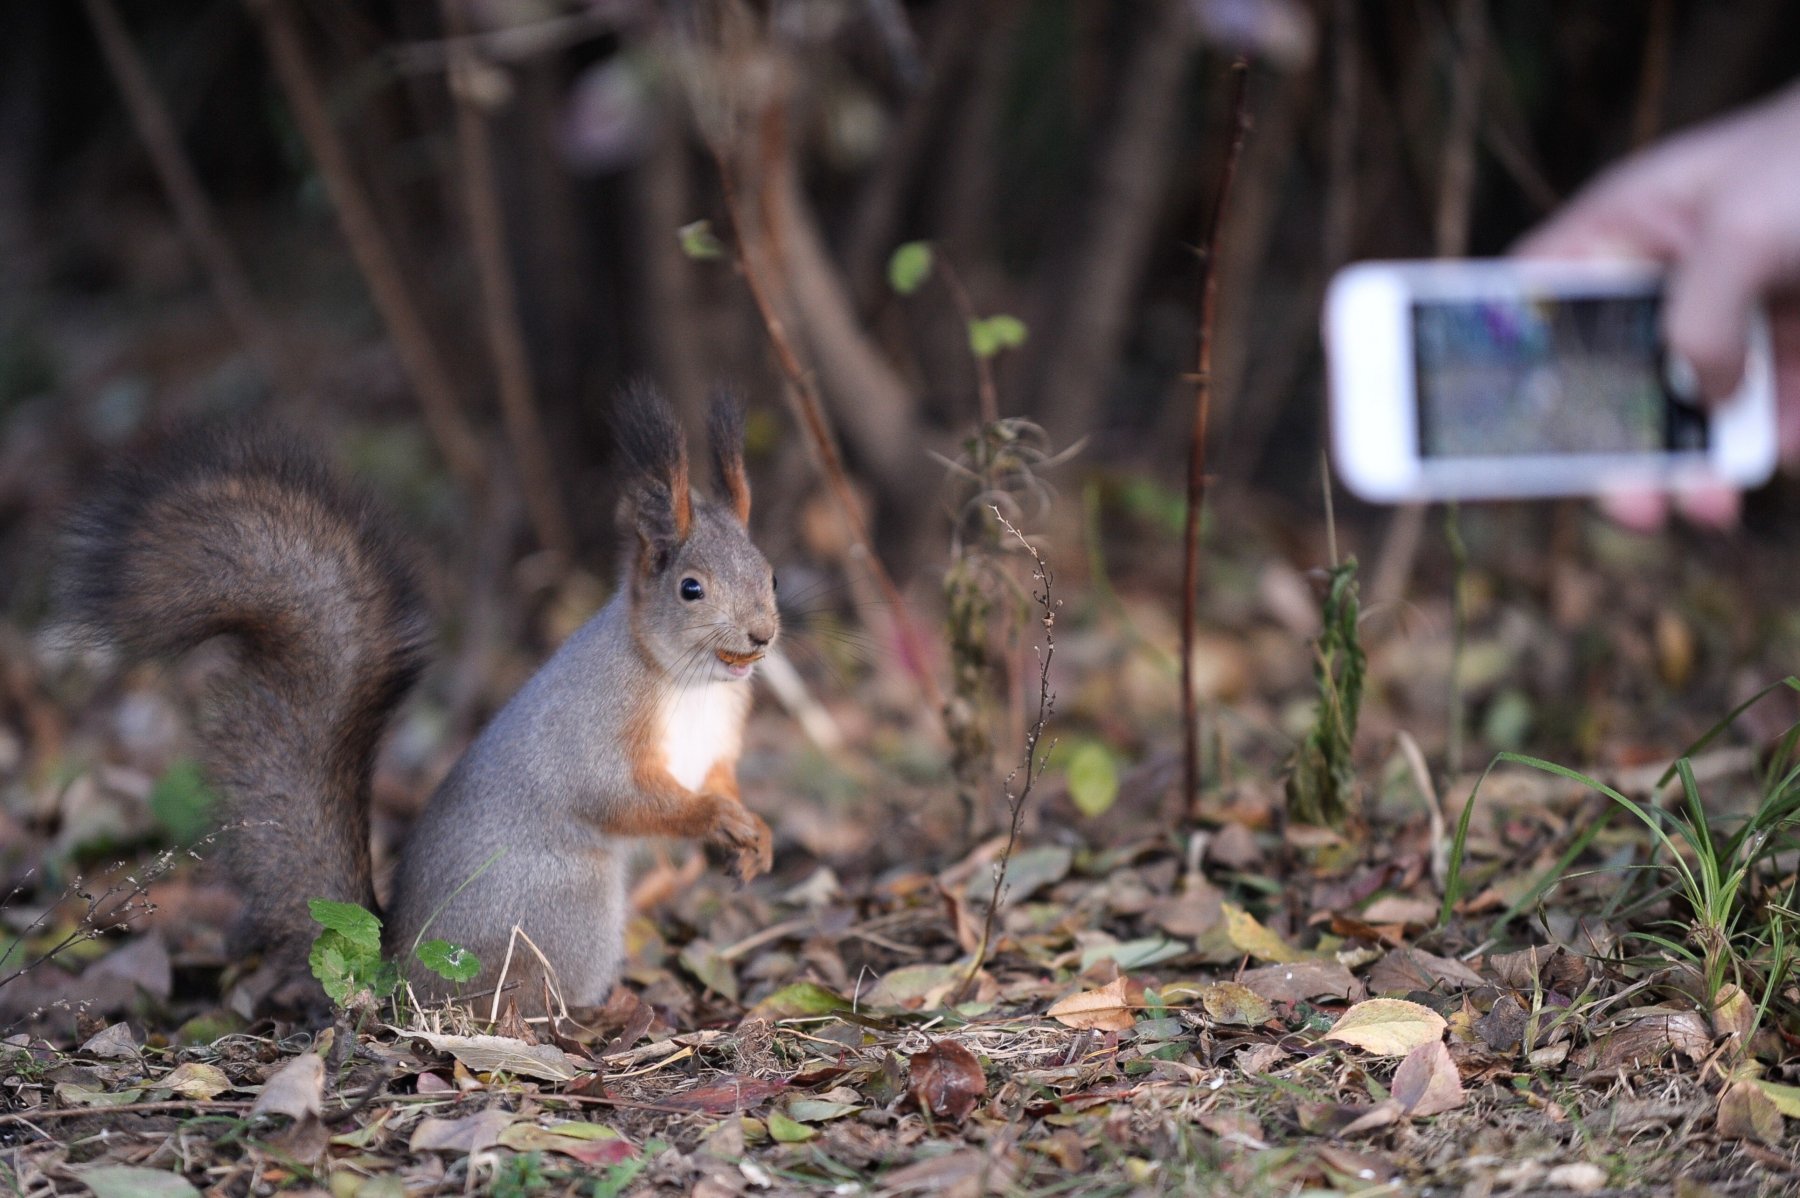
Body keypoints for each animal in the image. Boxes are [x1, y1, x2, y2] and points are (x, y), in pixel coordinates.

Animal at [54, 390, 774, 1007]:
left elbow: (719, 775)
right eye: (689, 589)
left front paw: (753, 834)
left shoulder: (723, 734)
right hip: (567, 908)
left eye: (767, 573)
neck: (691, 683)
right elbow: (616, 795)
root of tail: (395, 969)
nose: (762, 635)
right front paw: (713, 817)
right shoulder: (598, 725)